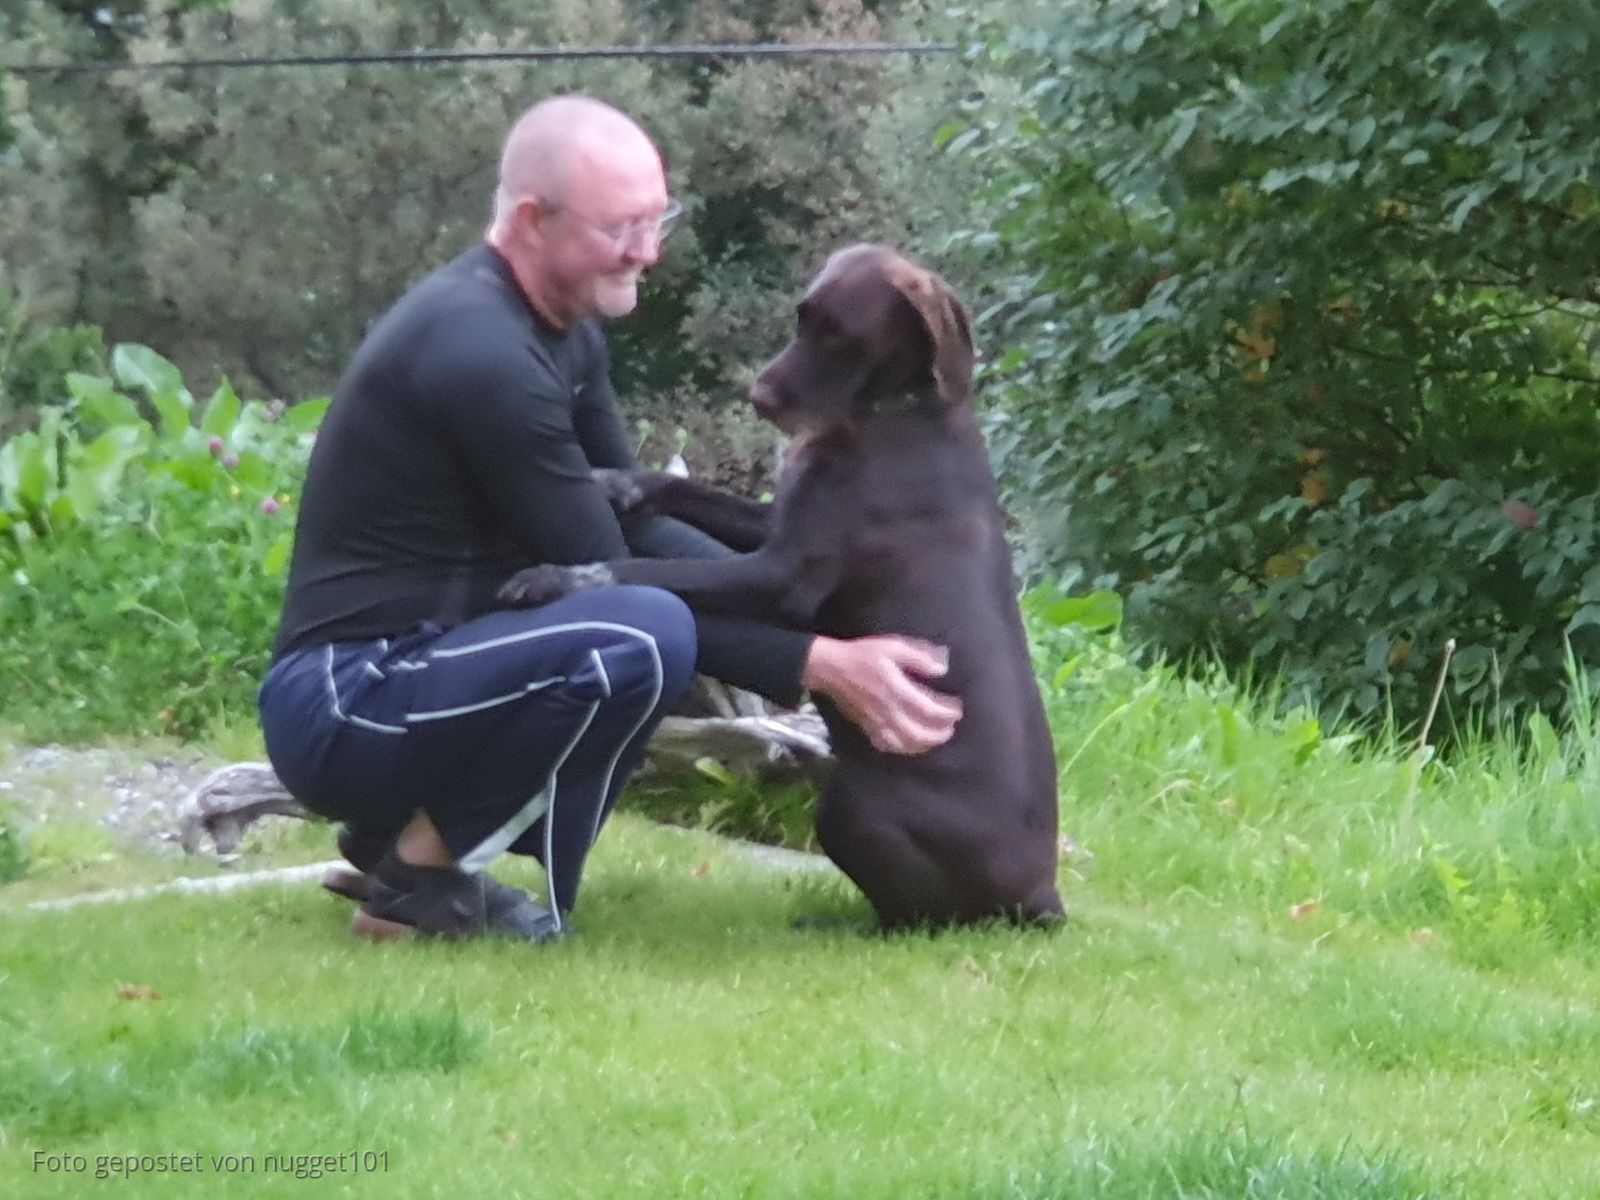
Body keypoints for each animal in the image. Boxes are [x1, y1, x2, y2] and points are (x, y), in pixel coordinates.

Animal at [500, 244, 1064, 930]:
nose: (759, 396)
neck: (890, 413)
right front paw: (617, 483)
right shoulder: (773, 527)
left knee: (920, 922)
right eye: (802, 317)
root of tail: (1043, 895)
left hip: (850, 808)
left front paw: (555, 579)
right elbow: (680, 488)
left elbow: (648, 571)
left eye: (840, 334)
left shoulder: (781, 577)